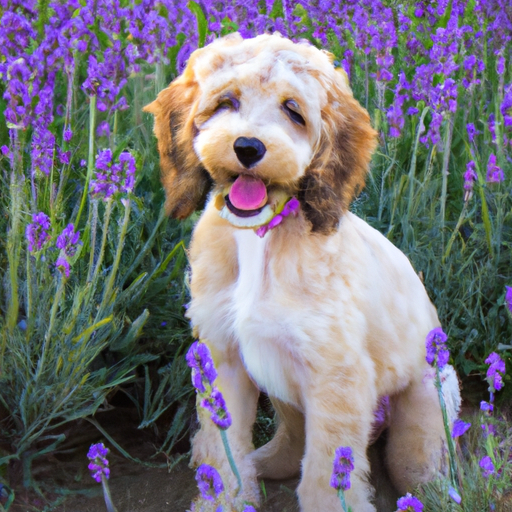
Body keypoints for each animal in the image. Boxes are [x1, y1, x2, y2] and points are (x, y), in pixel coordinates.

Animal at [143, 34, 460, 510]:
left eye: (294, 111)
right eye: (226, 101)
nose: (248, 147)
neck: (261, 238)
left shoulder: (336, 377)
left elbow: (325, 475)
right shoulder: (224, 360)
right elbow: (223, 450)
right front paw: (227, 498)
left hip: (425, 402)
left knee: (417, 464)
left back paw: (441, 490)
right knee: (291, 443)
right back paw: (265, 462)